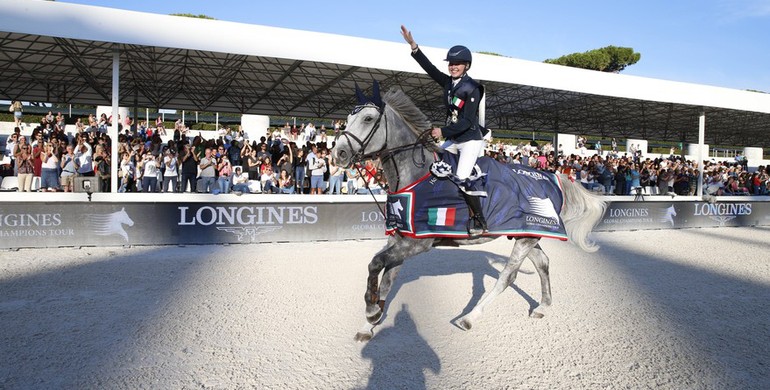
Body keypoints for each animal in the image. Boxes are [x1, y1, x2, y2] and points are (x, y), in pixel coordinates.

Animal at [330, 86, 608, 342]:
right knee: (542, 263)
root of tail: (553, 176)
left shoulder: (417, 243)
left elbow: (375, 264)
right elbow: (386, 278)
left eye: (368, 119)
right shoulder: (400, 239)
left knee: (508, 276)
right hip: (526, 233)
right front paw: (370, 323)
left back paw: (469, 318)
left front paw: (370, 312)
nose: (338, 154)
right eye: (348, 117)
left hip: (525, 238)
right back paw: (542, 307)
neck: (415, 175)